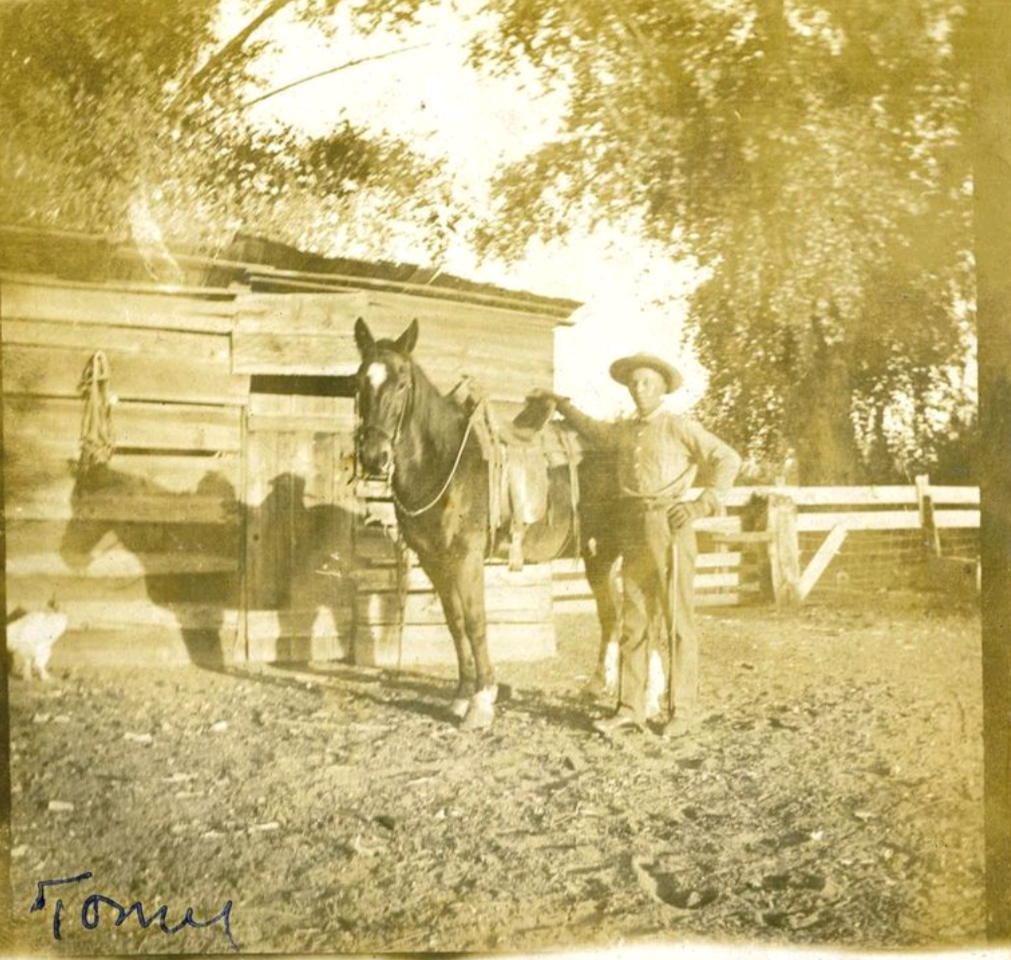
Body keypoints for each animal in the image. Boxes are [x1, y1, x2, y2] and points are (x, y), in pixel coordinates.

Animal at [355, 315, 622, 727]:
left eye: (402, 383)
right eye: (359, 381)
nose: (374, 456)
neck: (443, 462)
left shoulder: (467, 557)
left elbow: (476, 622)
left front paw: (481, 701)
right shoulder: (434, 561)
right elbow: (455, 623)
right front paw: (462, 695)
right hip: (600, 555)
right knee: (613, 616)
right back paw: (597, 685)